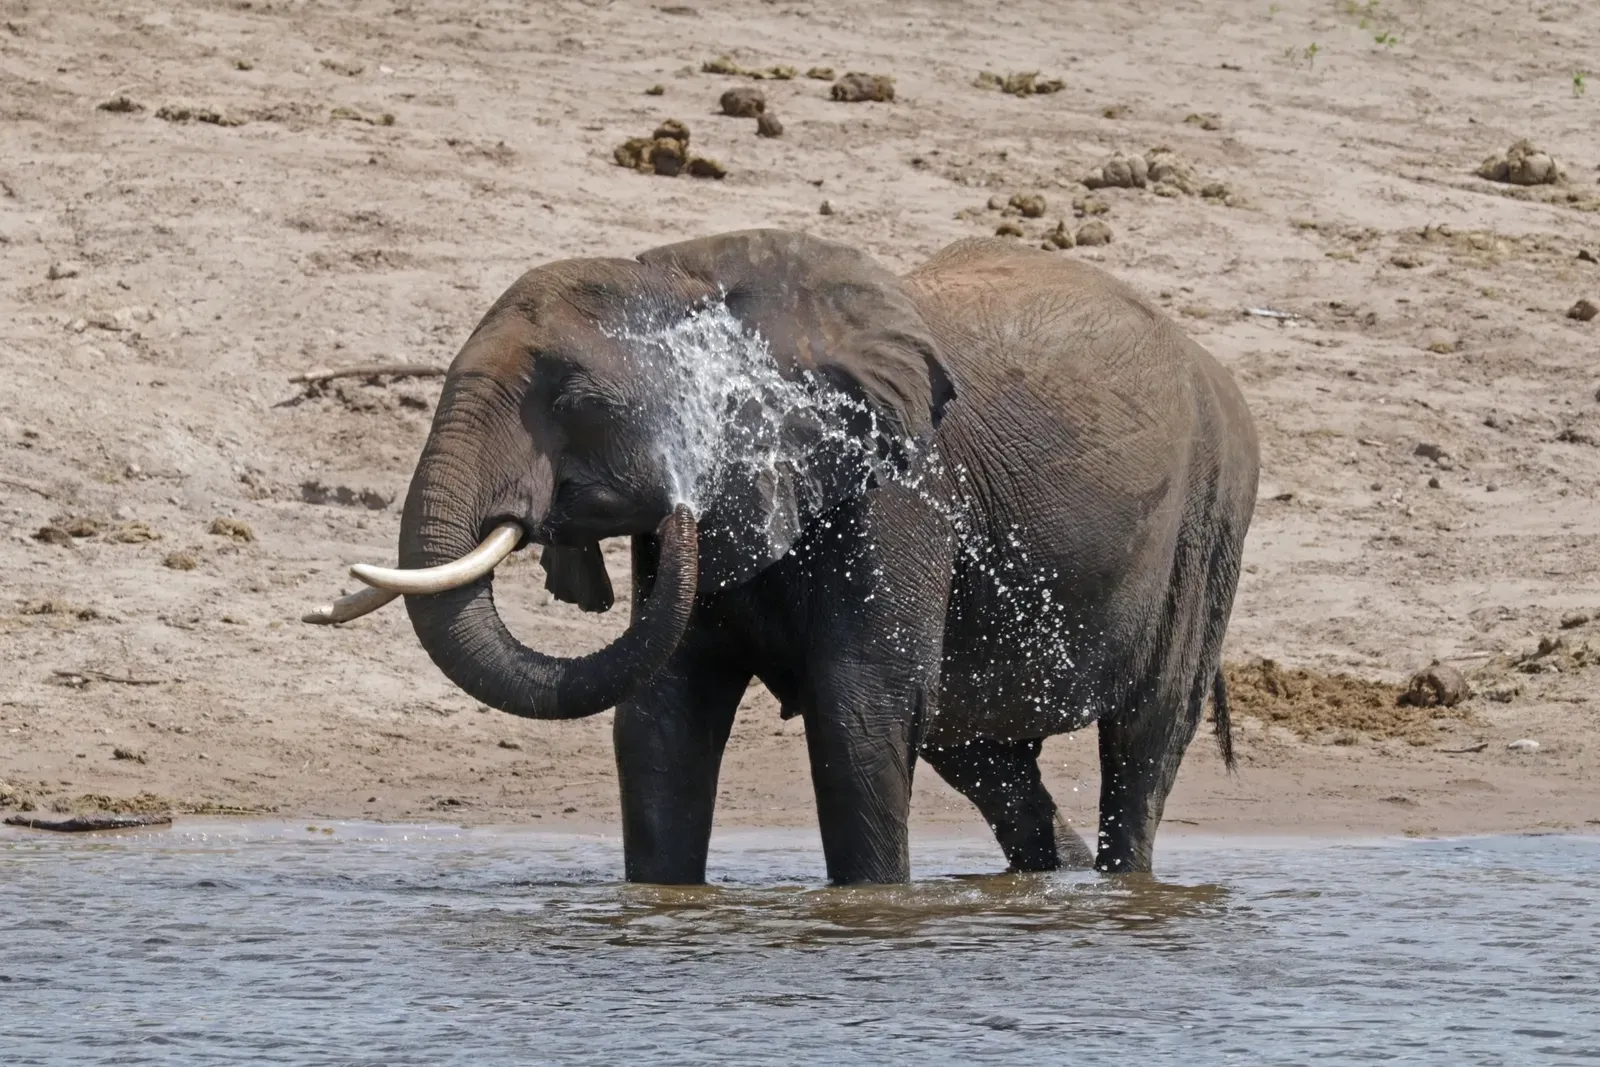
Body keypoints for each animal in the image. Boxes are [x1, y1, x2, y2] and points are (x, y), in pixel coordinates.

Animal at [320, 229, 1259, 885]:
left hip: (1213, 516)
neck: (689, 274)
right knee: (985, 761)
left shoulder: (897, 494)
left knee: (1142, 743)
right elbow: (662, 719)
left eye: (577, 399)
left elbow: (859, 710)